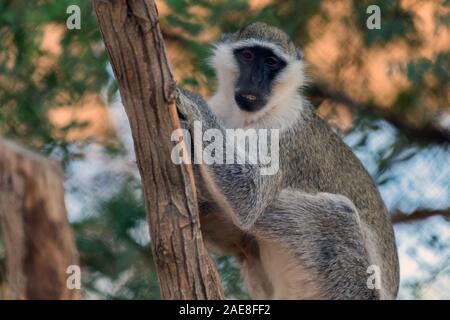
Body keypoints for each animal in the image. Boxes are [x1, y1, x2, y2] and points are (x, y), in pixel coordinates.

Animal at [174, 22, 400, 300]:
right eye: (247, 55)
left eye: (271, 61)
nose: (255, 80)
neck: (247, 118)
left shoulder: (282, 129)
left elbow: (250, 197)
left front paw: (191, 102)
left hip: (355, 286)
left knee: (335, 214)